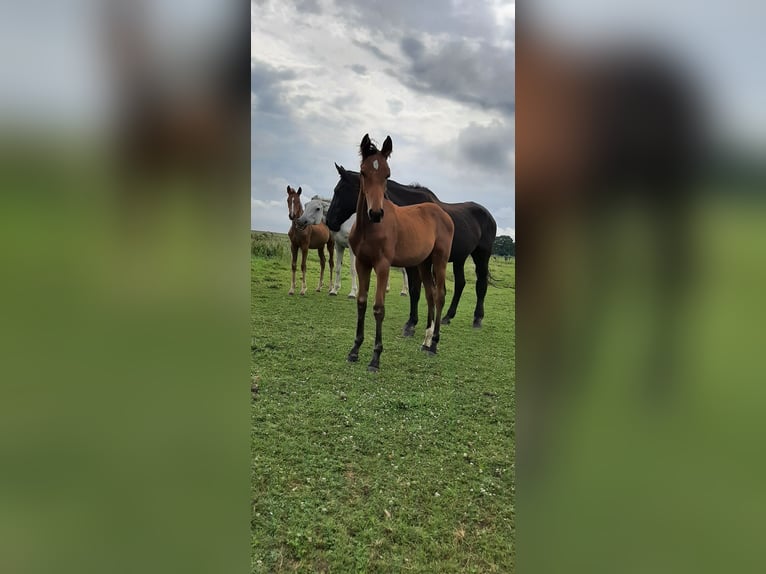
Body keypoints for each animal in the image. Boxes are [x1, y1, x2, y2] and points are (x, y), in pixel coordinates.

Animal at [326, 164, 497, 336]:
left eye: (339, 191)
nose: (329, 221)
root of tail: (488, 215)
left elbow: (417, 289)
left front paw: (412, 324)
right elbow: (416, 291)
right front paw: (415, 322)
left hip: (482, 255)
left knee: (481, 284)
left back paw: (477, 318)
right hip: (460, 258)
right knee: (460, 283)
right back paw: (448, 316)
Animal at [347, 133, 455, 372]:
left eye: (387, 174)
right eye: (363, 172)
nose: (376, 213)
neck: (369, 229)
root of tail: (443, 213)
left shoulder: (382, 265)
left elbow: (378, 308)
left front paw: (375, 358)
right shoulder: (362, 263)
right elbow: (361, 303)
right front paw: (354, 350)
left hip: (440, 259)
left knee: (440, 295)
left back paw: (434, 344)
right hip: (424, 263)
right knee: (431, 294)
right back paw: (425, 341)